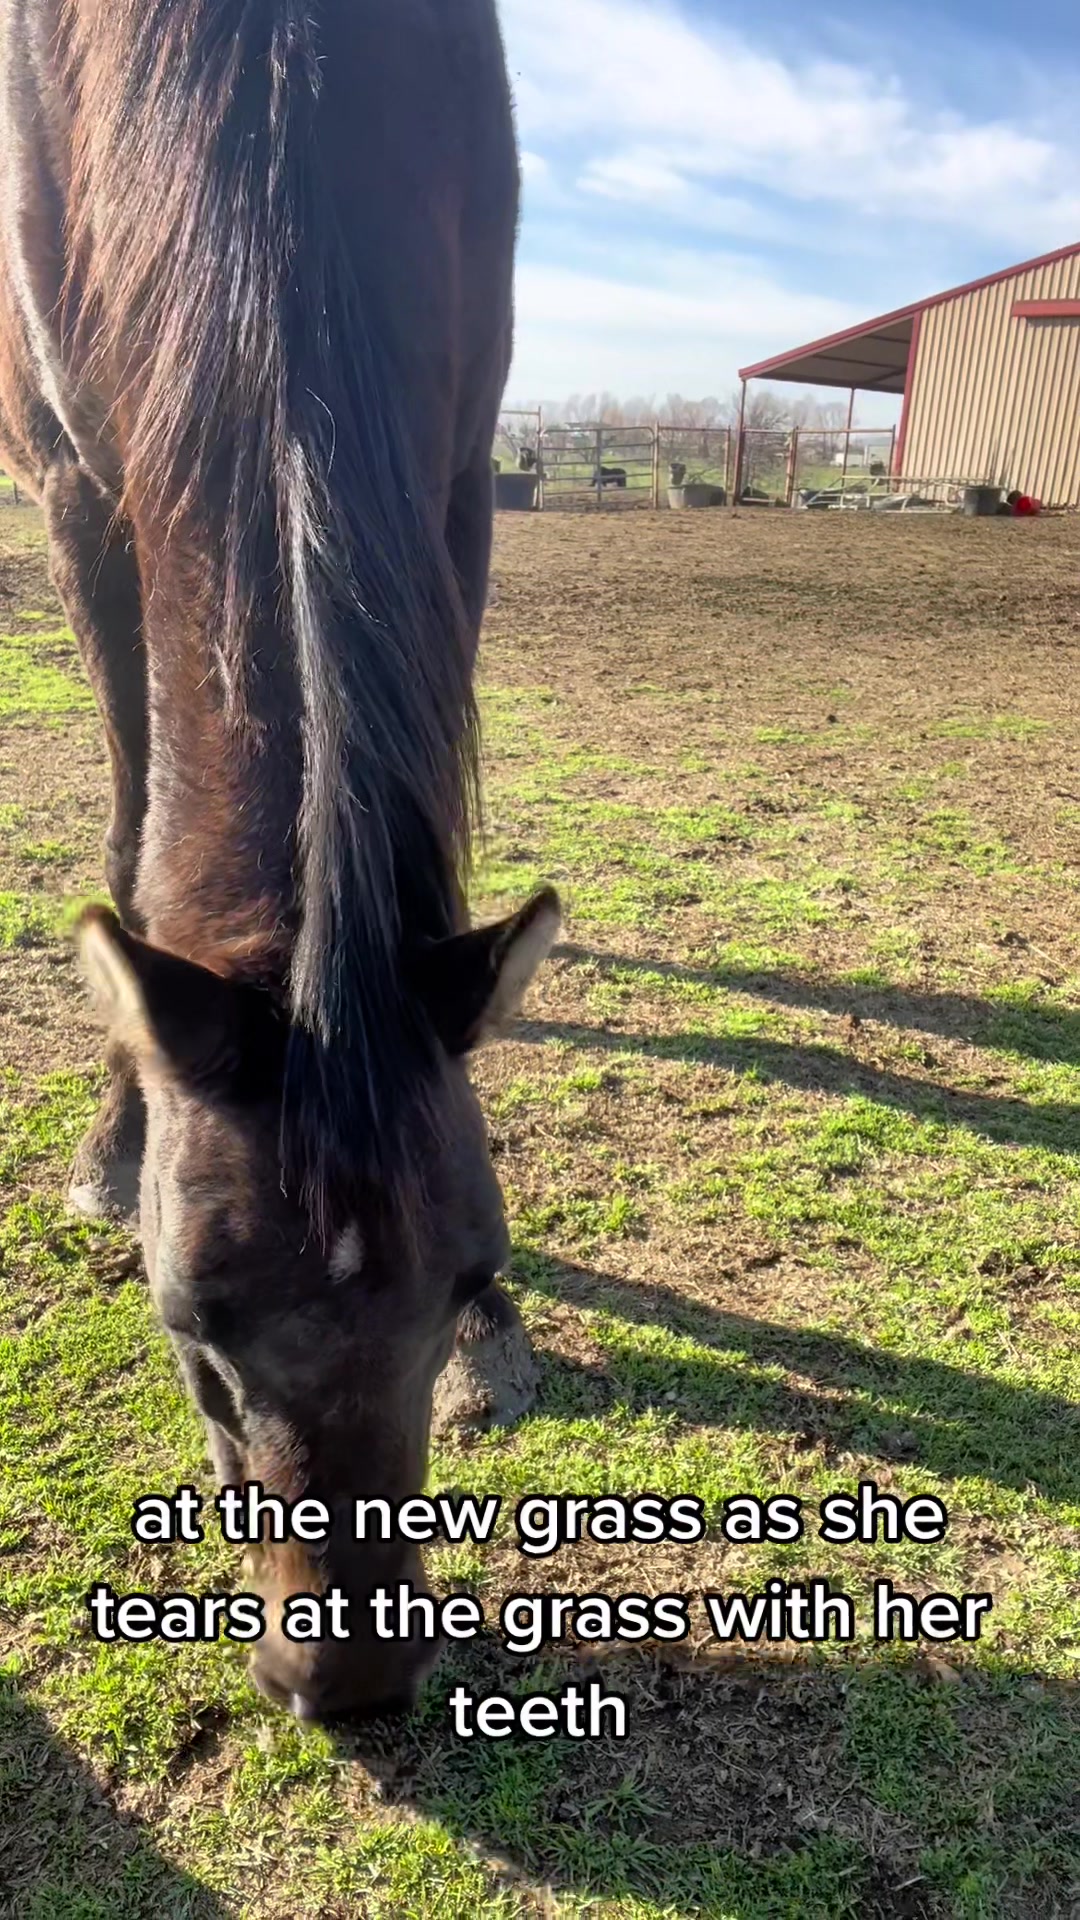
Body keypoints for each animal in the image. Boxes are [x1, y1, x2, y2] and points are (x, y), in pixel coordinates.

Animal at [0, 0, 559, 1721]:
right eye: (188, 1318)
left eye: (467, 1267)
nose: (352, 1680)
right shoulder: (78, 485)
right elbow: (134, 820)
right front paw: (115, 1136)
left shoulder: (460, 473)